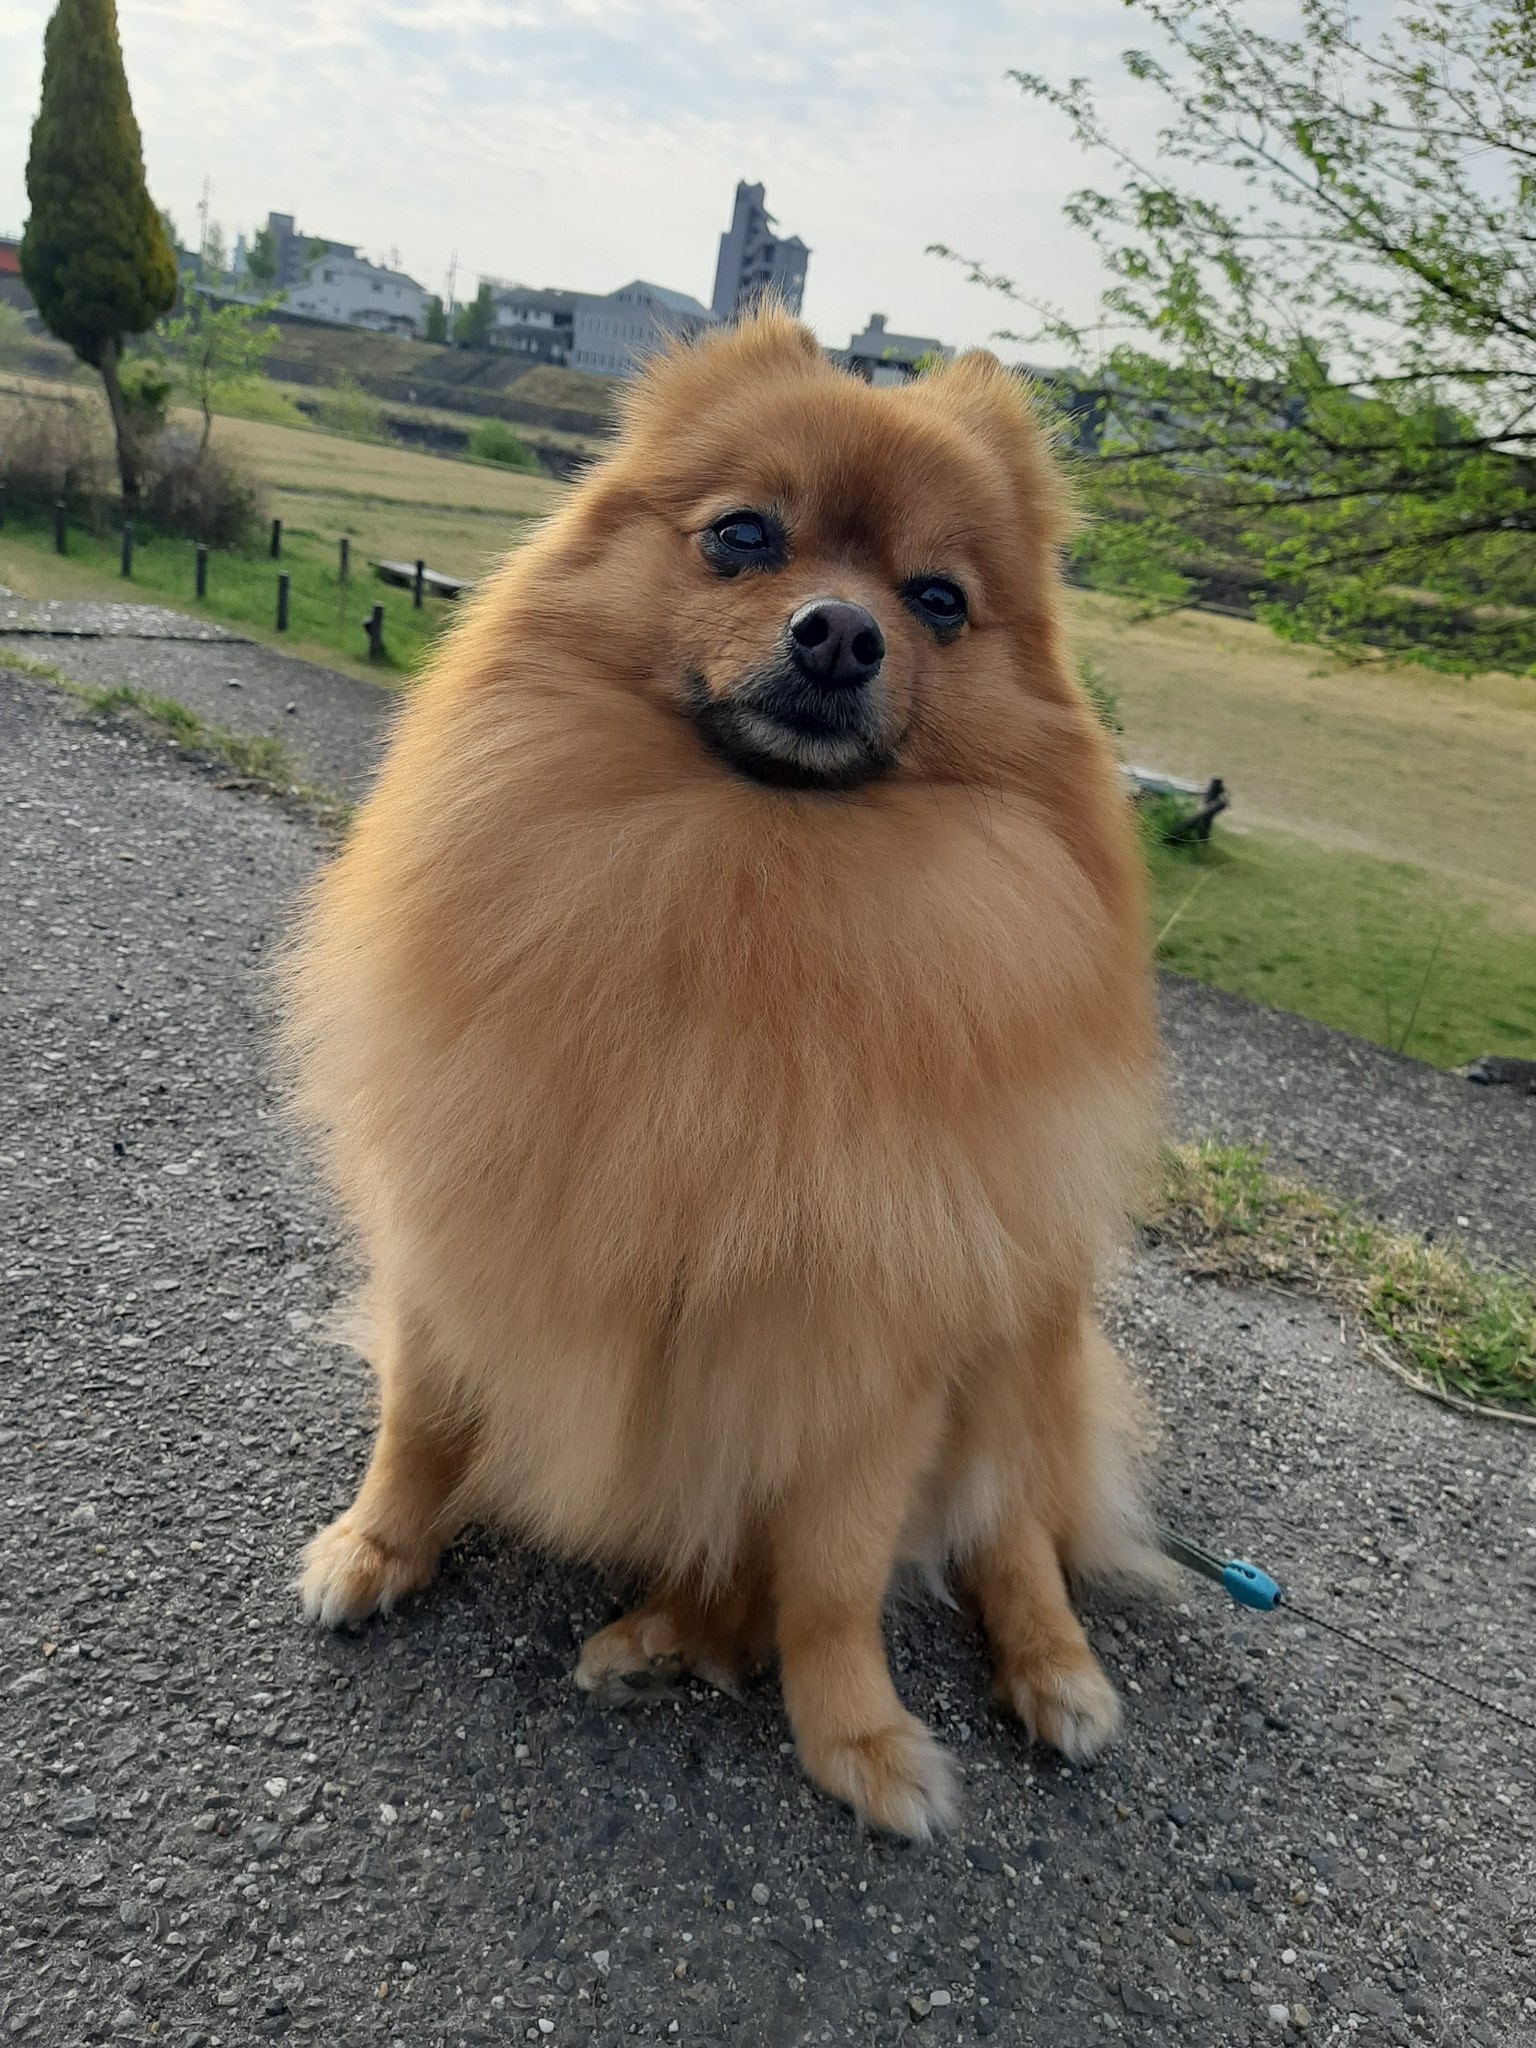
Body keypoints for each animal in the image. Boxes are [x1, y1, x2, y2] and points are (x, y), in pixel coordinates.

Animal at [284, 312, 1161, 1839]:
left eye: (938, 600)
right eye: (745, 536)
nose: (843, 630)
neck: (753, 880)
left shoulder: (872, 1349)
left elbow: (836, 1577)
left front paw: (856, 1733)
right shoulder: (464, 1221)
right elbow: (423, 1420)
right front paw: (378, 1544)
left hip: (1021, 1344)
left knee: (1013, 1531)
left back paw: (1050, 1666)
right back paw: (669, 1634)